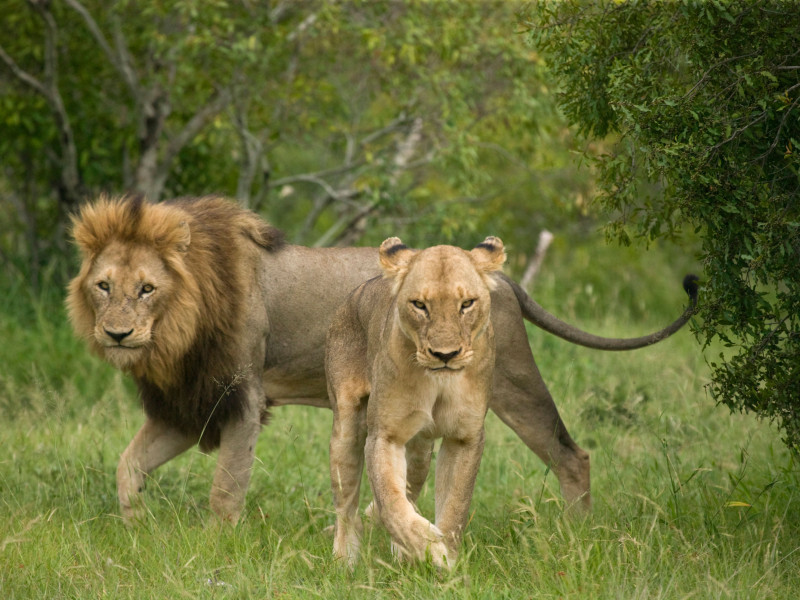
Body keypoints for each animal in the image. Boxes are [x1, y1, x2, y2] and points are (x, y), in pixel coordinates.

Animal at [65, 195, 696, 524]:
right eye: (103, 286)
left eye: (147, 289)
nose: (117, 334)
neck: (176, 329)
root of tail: (497, 275)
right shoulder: (186, 406)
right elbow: (128, 466)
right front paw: (136, 528)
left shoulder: (240, 399)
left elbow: (225, 490)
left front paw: (216, 545)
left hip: (514, 384)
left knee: (571, 455)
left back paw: (576, 534)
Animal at [326, 236, 504, 568]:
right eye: (420, 305)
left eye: (467, 304)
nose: (445, 355)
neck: (439, 382)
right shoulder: (385, 435)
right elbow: (391, 503)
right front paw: (430, 550)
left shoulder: (465, 437)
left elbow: (455, 506)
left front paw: (444, 555)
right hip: (345, 428)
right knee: (347, 506)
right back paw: (345, 558)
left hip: (421, 452)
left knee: (409, 487)